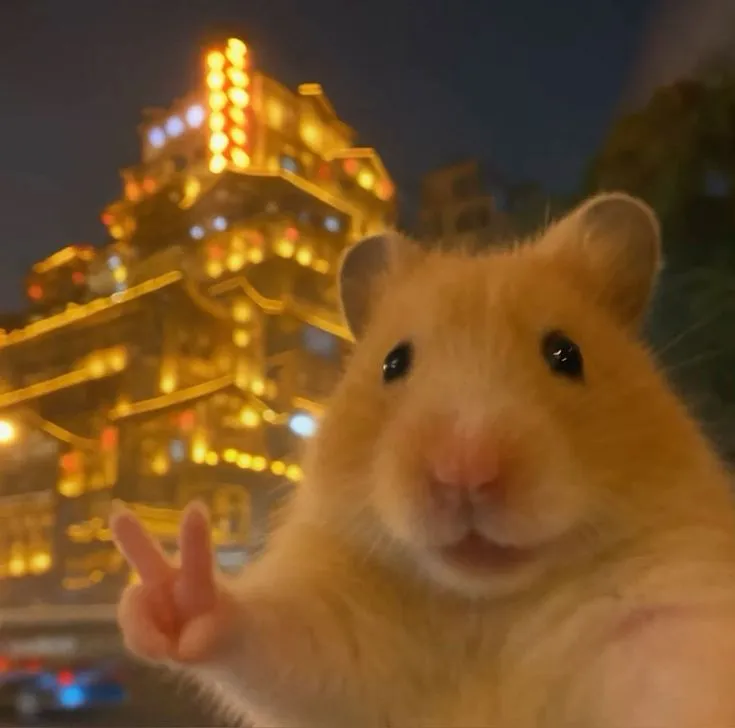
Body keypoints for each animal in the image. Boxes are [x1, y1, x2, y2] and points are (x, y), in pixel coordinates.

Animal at [111, 192, 735, 728]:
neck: (485, 605)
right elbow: (266, 636)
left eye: (567, 354)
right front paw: (173, 584)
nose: (466, 472)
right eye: (393, 363)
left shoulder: (669, 623)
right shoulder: (337, 631)